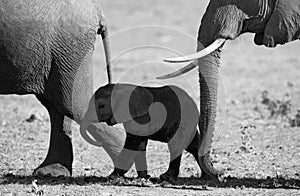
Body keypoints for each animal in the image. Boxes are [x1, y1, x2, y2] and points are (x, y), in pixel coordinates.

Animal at [81, 82, 219, 182]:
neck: (123, 88)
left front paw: (112, 177)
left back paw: (166, 178)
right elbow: (140, 144)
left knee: (176, 146)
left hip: (184, 120)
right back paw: (206, 177)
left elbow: (133, 143)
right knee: (193, 146)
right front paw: (143, 177)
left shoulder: (141, 117)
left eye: (101, 106)